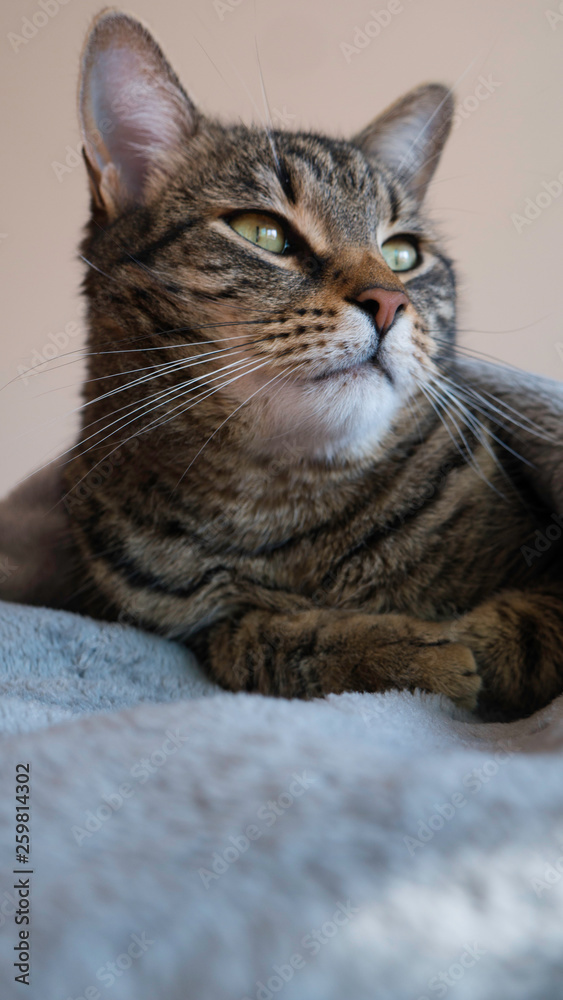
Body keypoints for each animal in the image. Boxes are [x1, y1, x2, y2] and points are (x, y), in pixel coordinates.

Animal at [65, 11, 563, 724]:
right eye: (263, 232)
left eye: (403, 252)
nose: (390, 300)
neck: (279, 500)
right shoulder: (174, 622)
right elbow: (245, 639)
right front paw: (395, 649)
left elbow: (529, 625)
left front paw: (465, 645)